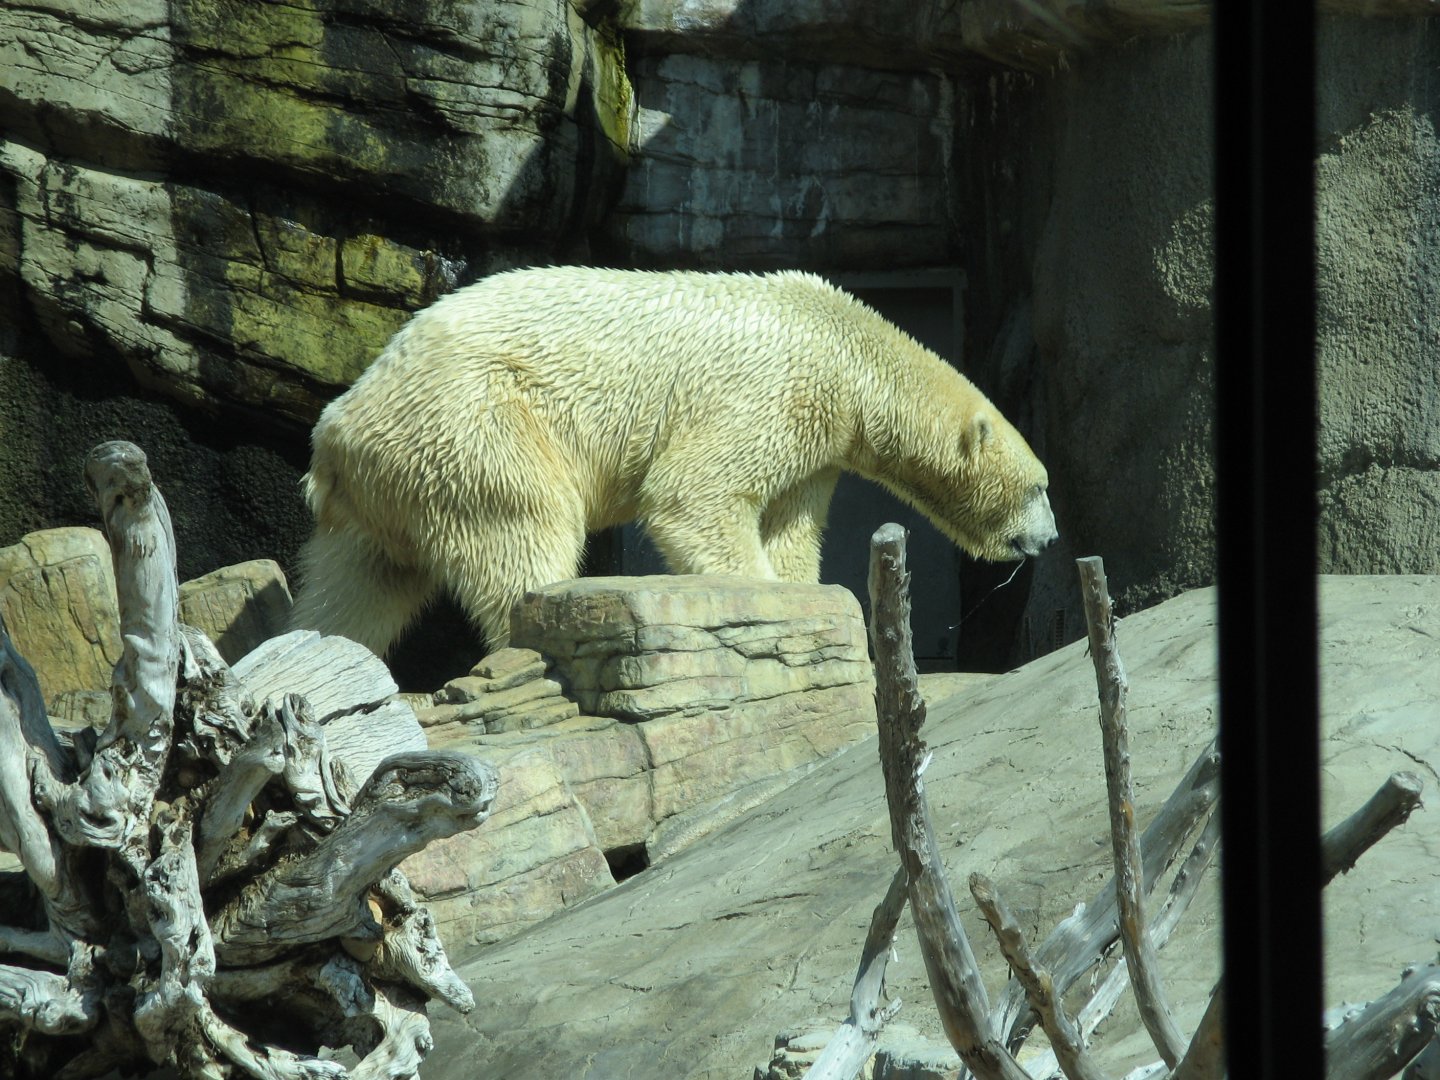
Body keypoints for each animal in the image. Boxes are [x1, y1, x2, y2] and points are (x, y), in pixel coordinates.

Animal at [290, 266, 1057, 656]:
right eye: (1041, 487)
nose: (1048, 540)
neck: (842, 347)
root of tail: (334, 434)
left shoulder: (817, 439)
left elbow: (790, 523)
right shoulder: (771, 389)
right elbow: (695, 494)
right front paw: (763, 604)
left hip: (385, 484)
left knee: (355, 587)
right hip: (475, 422)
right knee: (521, 532)